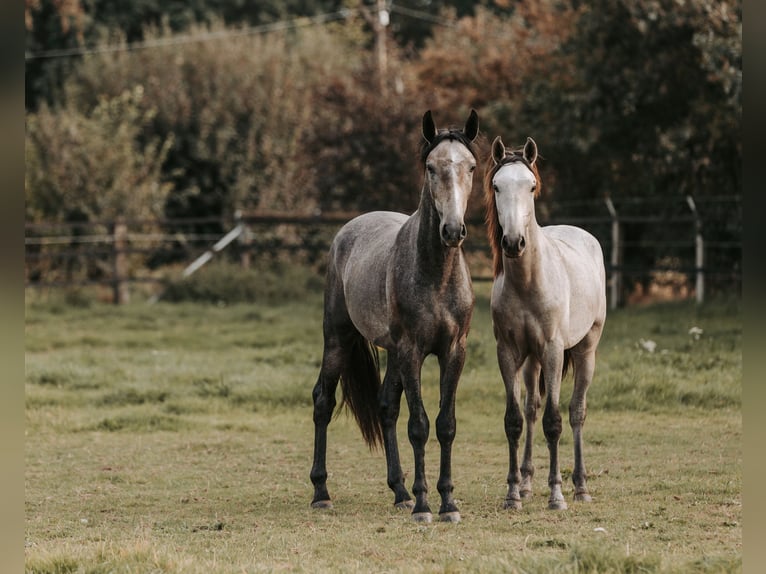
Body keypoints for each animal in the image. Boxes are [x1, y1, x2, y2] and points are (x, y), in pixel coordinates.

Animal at [310, 109, 480, 528]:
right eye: (431, 168)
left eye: (471, 166)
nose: (453, 230)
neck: (436, 274)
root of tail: (348, 230)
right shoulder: (412, 350)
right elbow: (418, 425)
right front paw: (424, 506)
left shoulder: (454, 351)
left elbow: (445, 425)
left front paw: (446, 503)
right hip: (339, 339)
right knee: (323, 400)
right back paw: (321, 493)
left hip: (392, 353)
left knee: (386, 405)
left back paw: (400, 492)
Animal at [486, 136, 608, 512]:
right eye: (496, 186)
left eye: (531, 186)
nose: (513, 242)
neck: (528, 282)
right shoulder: (508, 352)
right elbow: (514, 420)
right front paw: (513, 493)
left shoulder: (553, 350)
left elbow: (554, 423)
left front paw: (556, 494)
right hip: (532, 361)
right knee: (531, 409)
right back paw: (526, 483)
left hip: (585, 349)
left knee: (576, 412)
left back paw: (581, 487)